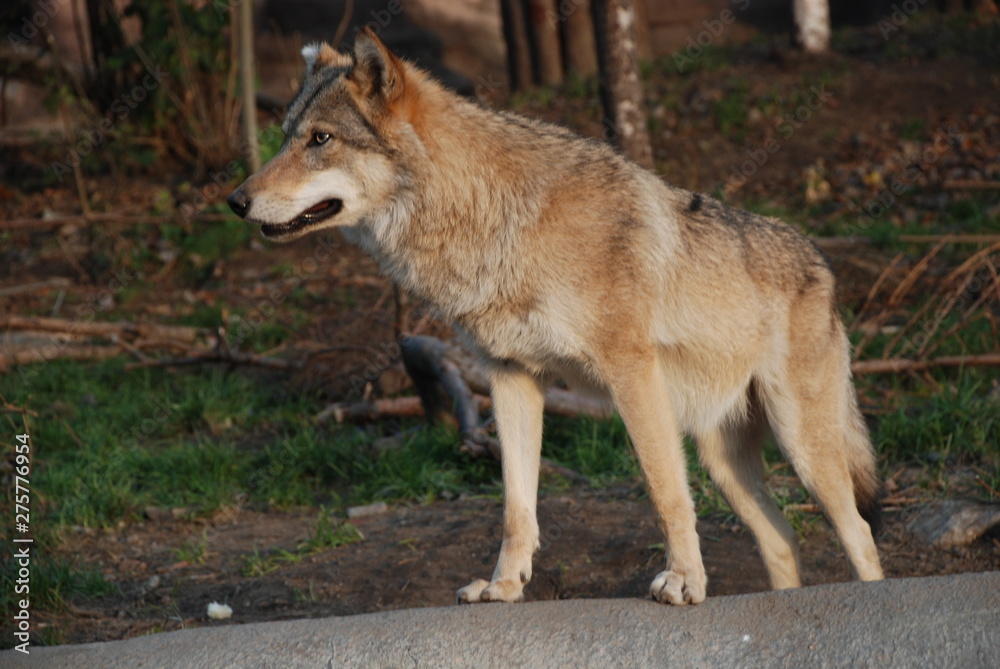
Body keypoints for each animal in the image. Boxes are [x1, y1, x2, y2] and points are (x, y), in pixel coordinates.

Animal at [229, 30, 884, 604]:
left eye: (320, 139)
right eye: (285, 137)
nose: (235, 200)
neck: (492, 219)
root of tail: (822, 265)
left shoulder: (630, 372)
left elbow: (664, 492)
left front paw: (682, 582)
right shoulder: (511, 376)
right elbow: (516, 506)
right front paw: (503, 587)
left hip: (803, 448)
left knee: (859, 532)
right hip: (723, 459)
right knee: (784, 538)